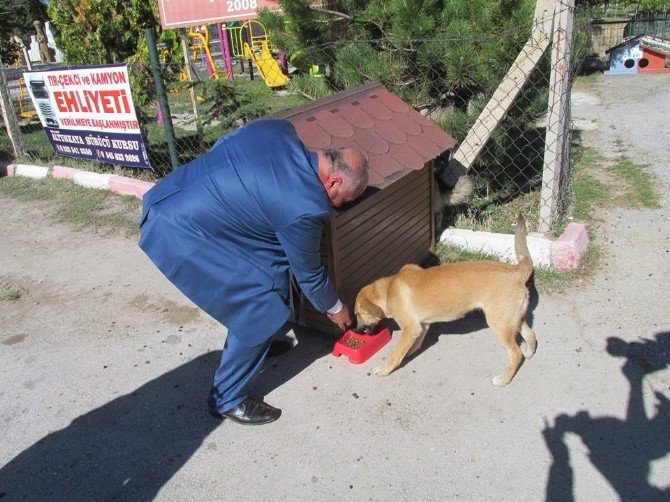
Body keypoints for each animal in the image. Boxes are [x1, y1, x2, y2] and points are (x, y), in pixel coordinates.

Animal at [354, 212, 540, 384]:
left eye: (357, 315)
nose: (355, 330)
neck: (388, 288)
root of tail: (517, 271)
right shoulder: (422, 325)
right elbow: (416, 343)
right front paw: (410, 352)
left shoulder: (410, 328)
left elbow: (396, 353)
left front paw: (384, 369)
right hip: (512, 318)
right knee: (531, 334)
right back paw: (529, 353)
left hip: (499, 323)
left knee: (515, 354)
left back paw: (504, 379)